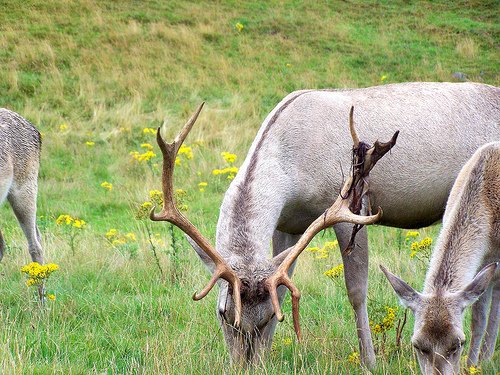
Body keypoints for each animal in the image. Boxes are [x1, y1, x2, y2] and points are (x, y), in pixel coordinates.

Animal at [380, 142, 498, 375]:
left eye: (459, 343)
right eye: (417, 344)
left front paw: (483, 363)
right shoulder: (483, 265)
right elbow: (478, 318)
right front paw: (473, 365)